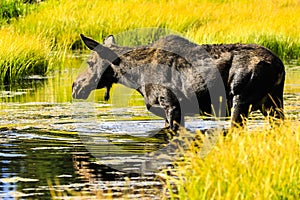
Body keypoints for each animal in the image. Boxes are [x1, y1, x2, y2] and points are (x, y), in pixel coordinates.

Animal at [72, 33, 284, 130]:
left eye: (90, 63)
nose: (75, 86)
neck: (135, 78)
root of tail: (278, 66)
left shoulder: (171, 105)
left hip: (240, 99)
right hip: (273, 105)